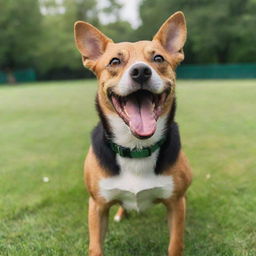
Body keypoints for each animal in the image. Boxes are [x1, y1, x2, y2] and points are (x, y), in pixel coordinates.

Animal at [74, 11, 192, 255]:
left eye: (158, 59)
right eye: (115, 61)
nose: (140, 72)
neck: (136, 147)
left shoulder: (176, 203)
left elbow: (175, 244)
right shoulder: (97, 206)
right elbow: (95, 247)